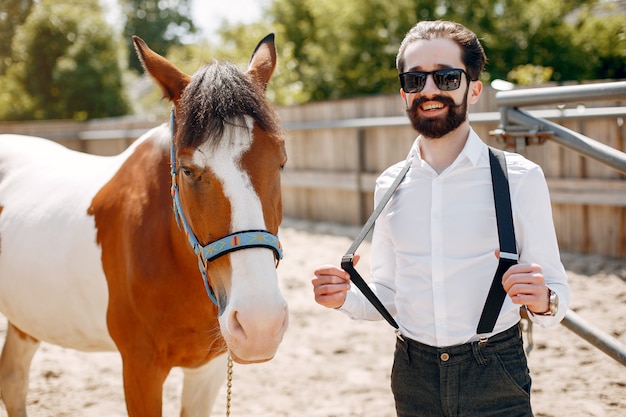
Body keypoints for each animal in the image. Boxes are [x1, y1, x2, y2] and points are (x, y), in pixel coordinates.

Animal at [0, 33, 288, 416]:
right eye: (187, 170)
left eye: (281, 162)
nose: (261, 325)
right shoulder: (139, 370)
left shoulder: (208, 369)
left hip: (26, 319)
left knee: (12, 379)